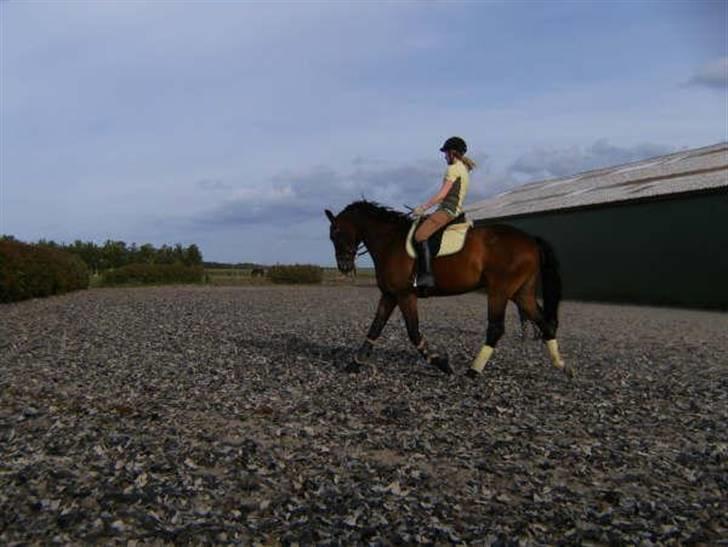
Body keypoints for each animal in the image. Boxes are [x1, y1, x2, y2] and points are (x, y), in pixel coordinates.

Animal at [326, 199, 576, 378]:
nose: (344, 266)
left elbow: (413, 332)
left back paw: (473, 371)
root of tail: (530, 240)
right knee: (544, 323)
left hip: (500, 291)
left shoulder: (405, 295)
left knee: (496, 328)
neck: (390, 241)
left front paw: (442, 364)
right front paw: (354, 364)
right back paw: (562, 366)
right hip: (521, 293)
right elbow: (375, 328)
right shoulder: (390, 295)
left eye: (336, 233)